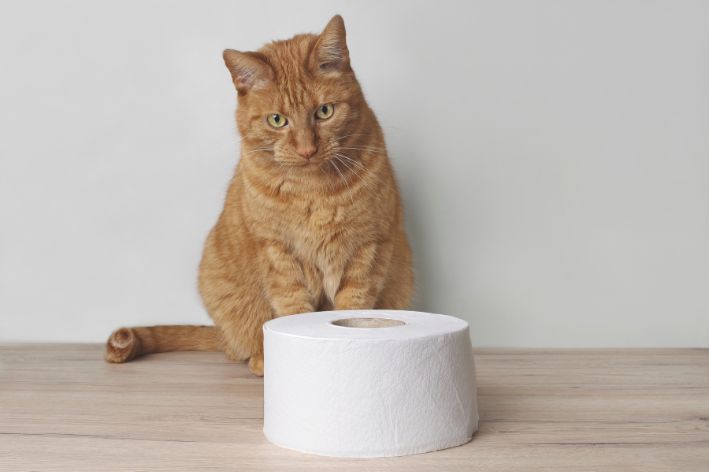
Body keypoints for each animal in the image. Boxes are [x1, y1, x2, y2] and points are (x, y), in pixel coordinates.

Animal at [106, 15, 414, 376]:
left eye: (324, 111)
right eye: (277, 120)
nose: (307, 150)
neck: (313, 191)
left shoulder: (368, 247)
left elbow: (353, 307)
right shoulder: (276, 252)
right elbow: (295, 310)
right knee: (240, 347)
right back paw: (262, 360)